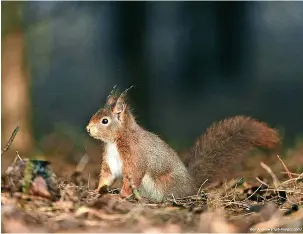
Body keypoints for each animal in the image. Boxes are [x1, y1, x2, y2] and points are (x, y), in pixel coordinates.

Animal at [86, 86, 282, 201]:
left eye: (104, 121)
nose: (88, 129)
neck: (115, 141)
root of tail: (191, 187)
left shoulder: (135, 156)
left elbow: (133, 176)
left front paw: (122, 195)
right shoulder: (110, 162)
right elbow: (107, 176)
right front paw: (97, 190)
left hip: (163, 183)